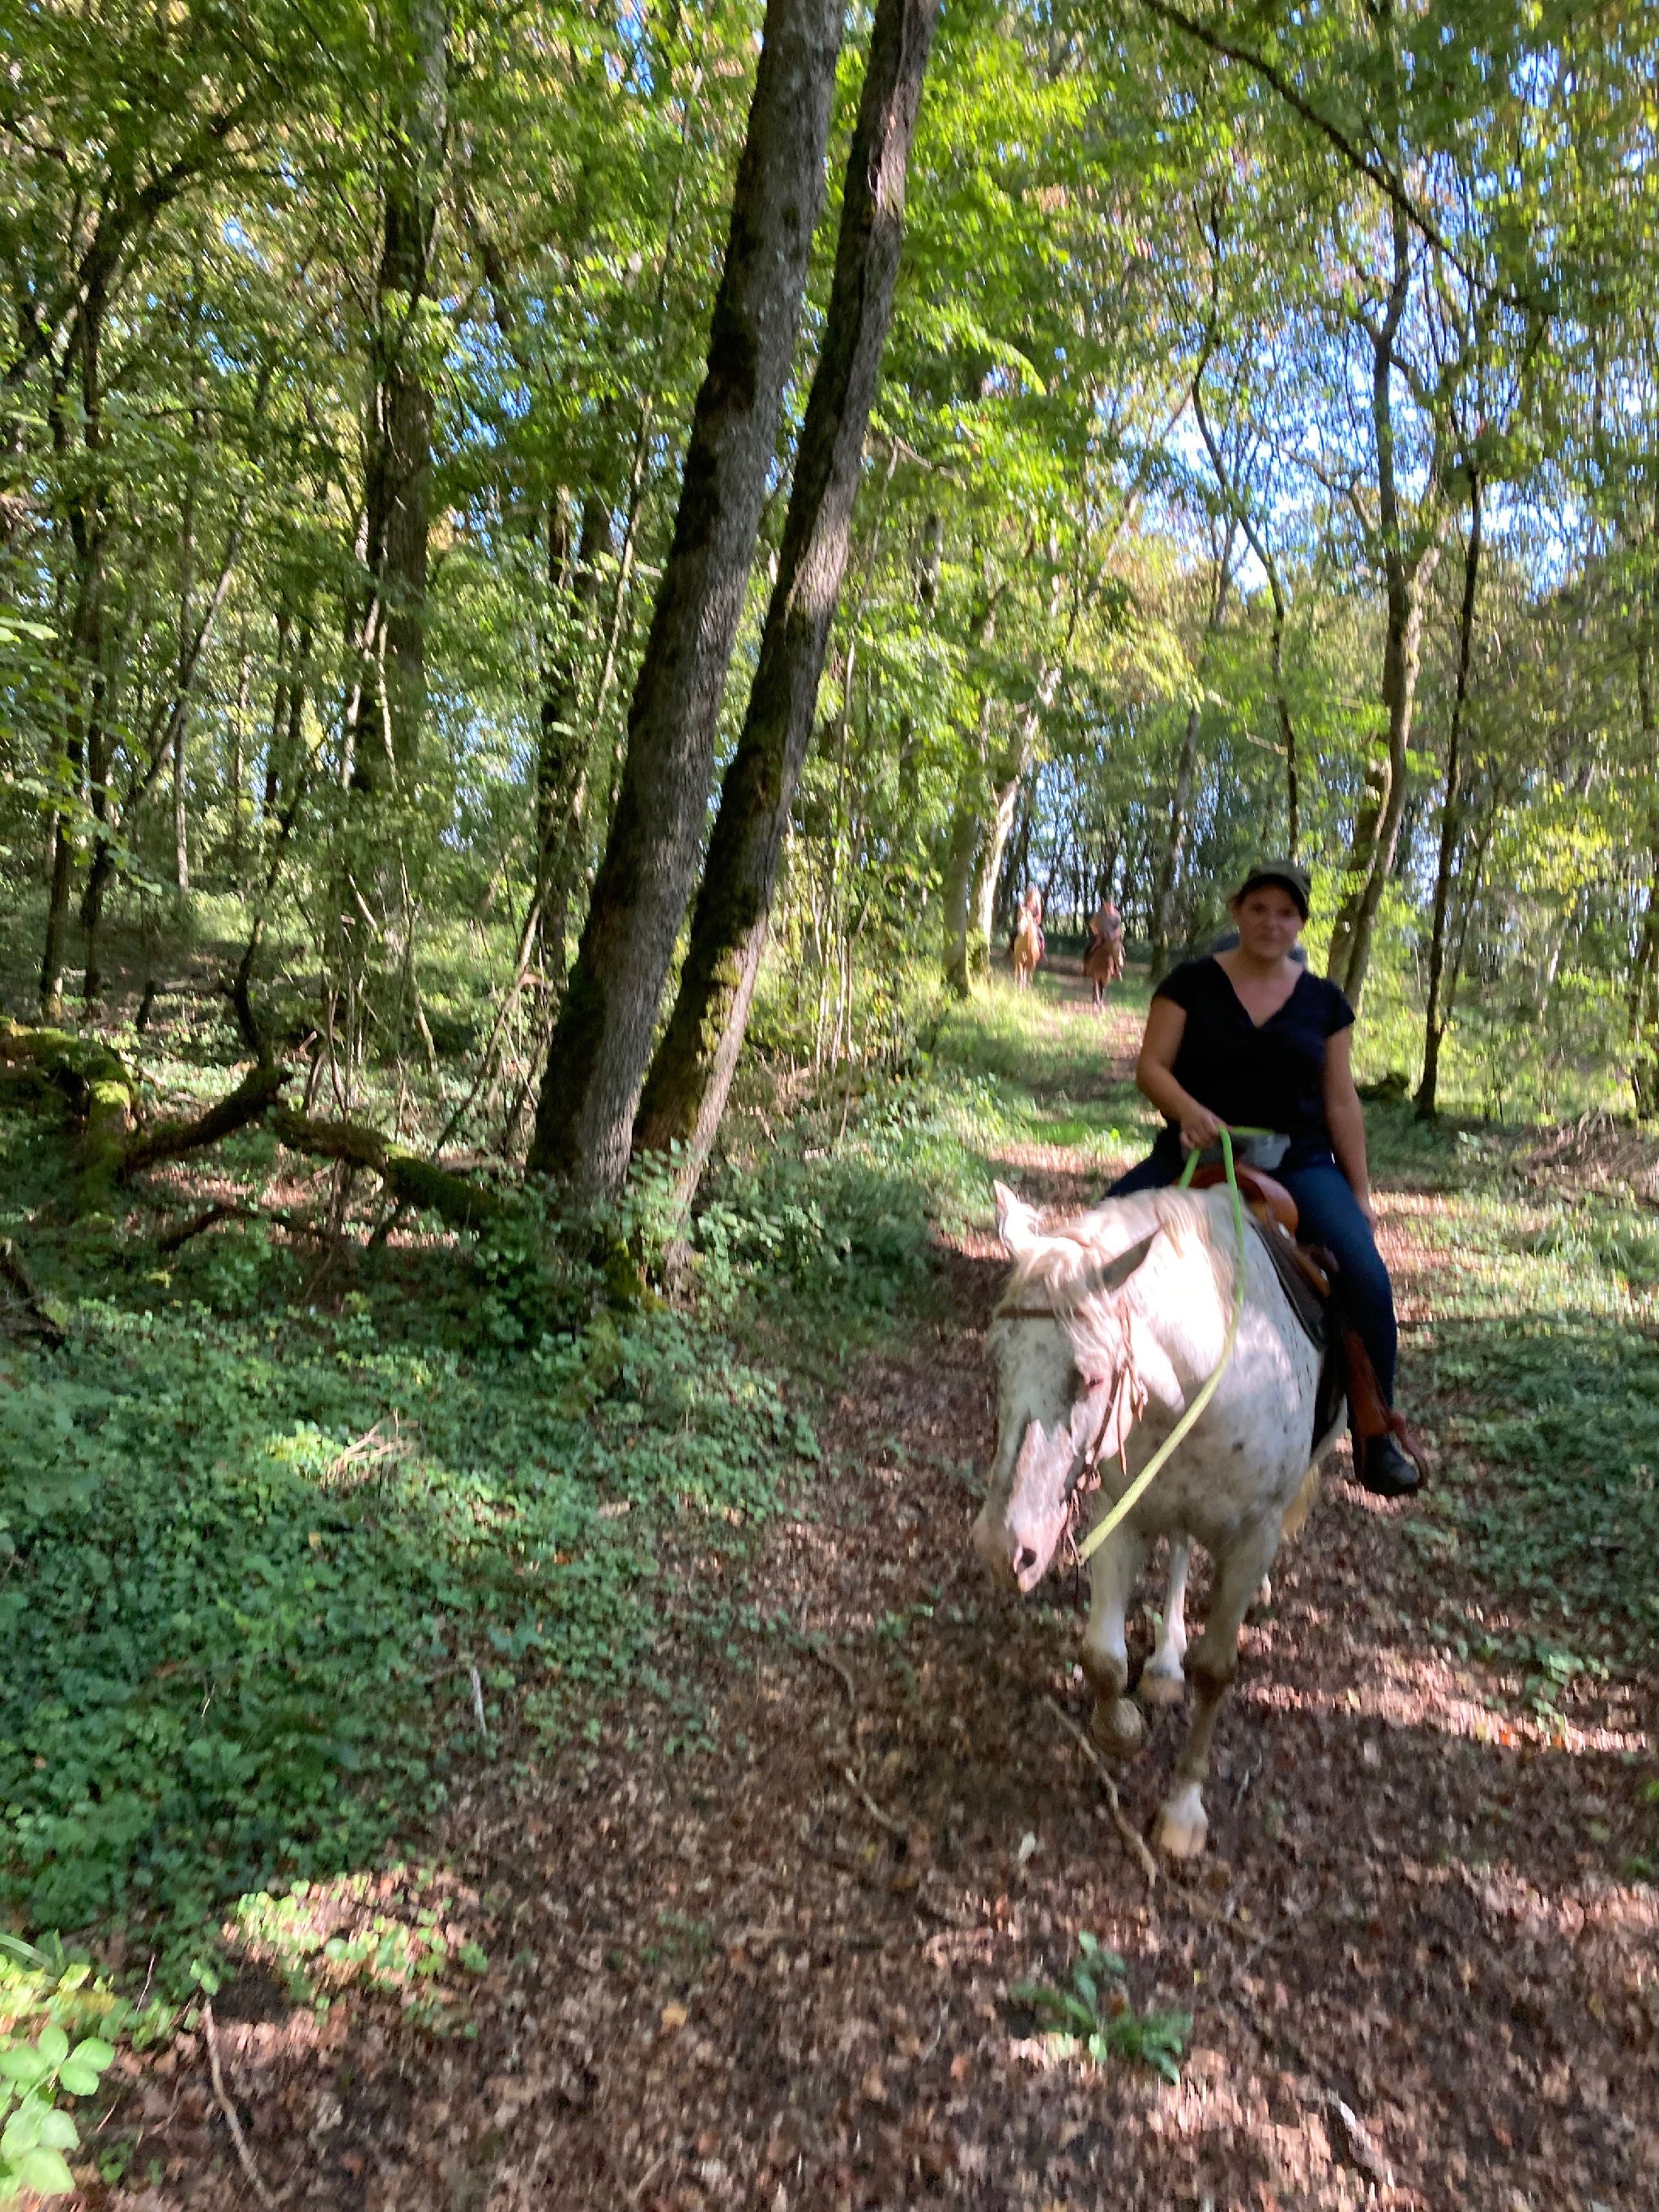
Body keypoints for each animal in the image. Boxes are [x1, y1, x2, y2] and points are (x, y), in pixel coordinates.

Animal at [972, 1180, 1338, 1858]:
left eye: (1090, 1377)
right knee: (1181, 1549)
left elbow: (1216, 1673)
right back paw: (1166, 1661)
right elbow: (1102, 1656)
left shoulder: (1251, 1536)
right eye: (995, 1358)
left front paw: (1184, 1809)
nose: (1001, 1547)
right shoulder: (1121, 1513)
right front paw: (1120, 1725)